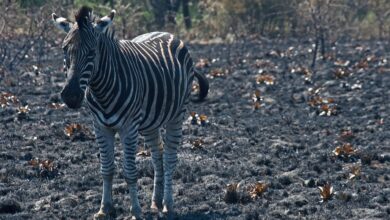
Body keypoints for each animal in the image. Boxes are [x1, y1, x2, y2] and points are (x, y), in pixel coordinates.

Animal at [53, 6, 209, 219]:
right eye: (64, 49)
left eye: (92, 52)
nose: (71, 96)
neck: (102, 91)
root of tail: (166, 32)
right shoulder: (100, 127)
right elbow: (106, 168)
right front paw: (104, 209)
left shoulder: (129, 127)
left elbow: (130, 172)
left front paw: (135, 211)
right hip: (150, 122)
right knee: (157, 154)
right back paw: (155, 202)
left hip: (177, 115)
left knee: (169, 157)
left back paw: (167, 205)